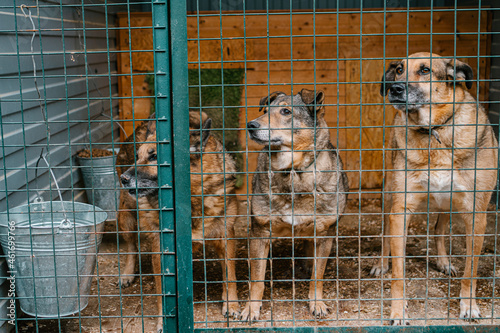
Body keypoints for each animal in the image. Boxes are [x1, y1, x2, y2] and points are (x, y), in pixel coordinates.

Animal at [118, 111, 241, 330]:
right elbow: (162, 292)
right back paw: (127, 273)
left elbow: (230, 274)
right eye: (138, 157)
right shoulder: (160, 250)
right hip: (126, 218)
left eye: (154, 157)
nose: (123, 179)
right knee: (131, 246)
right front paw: (163, 321)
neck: (189, 199)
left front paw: (231, 304)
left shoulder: (226, 237)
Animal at [241, 87, 350, 320]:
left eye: (286, 111)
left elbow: (318, 275)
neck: (292, 172)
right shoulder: (260, 232)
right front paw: (251, 308)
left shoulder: (324, 234)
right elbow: (257, 278)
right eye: (266, 111)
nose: (251, 125)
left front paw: (317, 303)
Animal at [370, 52, 498, 324]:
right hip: (389, 194)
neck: (434, 131)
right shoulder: (401, 209)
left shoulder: (476, 214)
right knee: (386, 231)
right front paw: (398, 311)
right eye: (399, 69)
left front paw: (469, 306)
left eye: (425, 70)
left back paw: (443, 261)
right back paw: (381, 263)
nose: (394, 89)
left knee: (439, 229)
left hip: (448, 202)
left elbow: (471, 270)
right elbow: (398, 273)